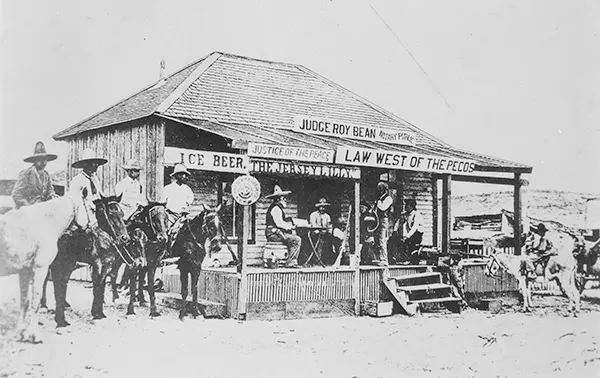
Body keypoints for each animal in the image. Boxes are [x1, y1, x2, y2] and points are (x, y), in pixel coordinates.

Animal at [0, 193, 89, 344]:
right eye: (92, 207)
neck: (45, 223)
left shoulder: (24, 271)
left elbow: (24, 301)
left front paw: (20, 332)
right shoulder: (40, 269)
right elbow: (36, 301)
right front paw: (34, 335)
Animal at [42, 195, 143, 324]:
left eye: (122, 213)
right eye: (110, 213)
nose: (124, 238)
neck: (101, 239)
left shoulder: (106, 266)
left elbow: (101, 287)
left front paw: (100, 313)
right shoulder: (98, 266)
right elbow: (97, 288)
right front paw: (96, 314)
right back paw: (44, 306)